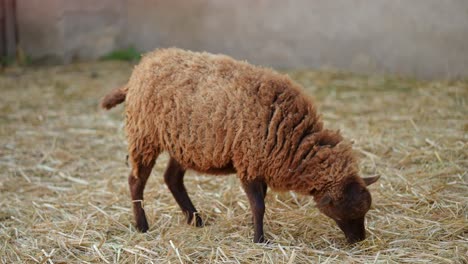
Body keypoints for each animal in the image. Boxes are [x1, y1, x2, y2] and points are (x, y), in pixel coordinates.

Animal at [100, 48, 378, 243]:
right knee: (136, 181)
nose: (358, 241)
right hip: (144, 136)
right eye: (342, 211)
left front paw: (256, 233)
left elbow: (260, 203)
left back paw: (196, 220)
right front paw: (259, 239)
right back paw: (143, 226)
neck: (292, 135)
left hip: (183, 143)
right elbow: (259, 205)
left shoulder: (260, 163)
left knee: (172, 179)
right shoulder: (249, 161)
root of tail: (141, 67)